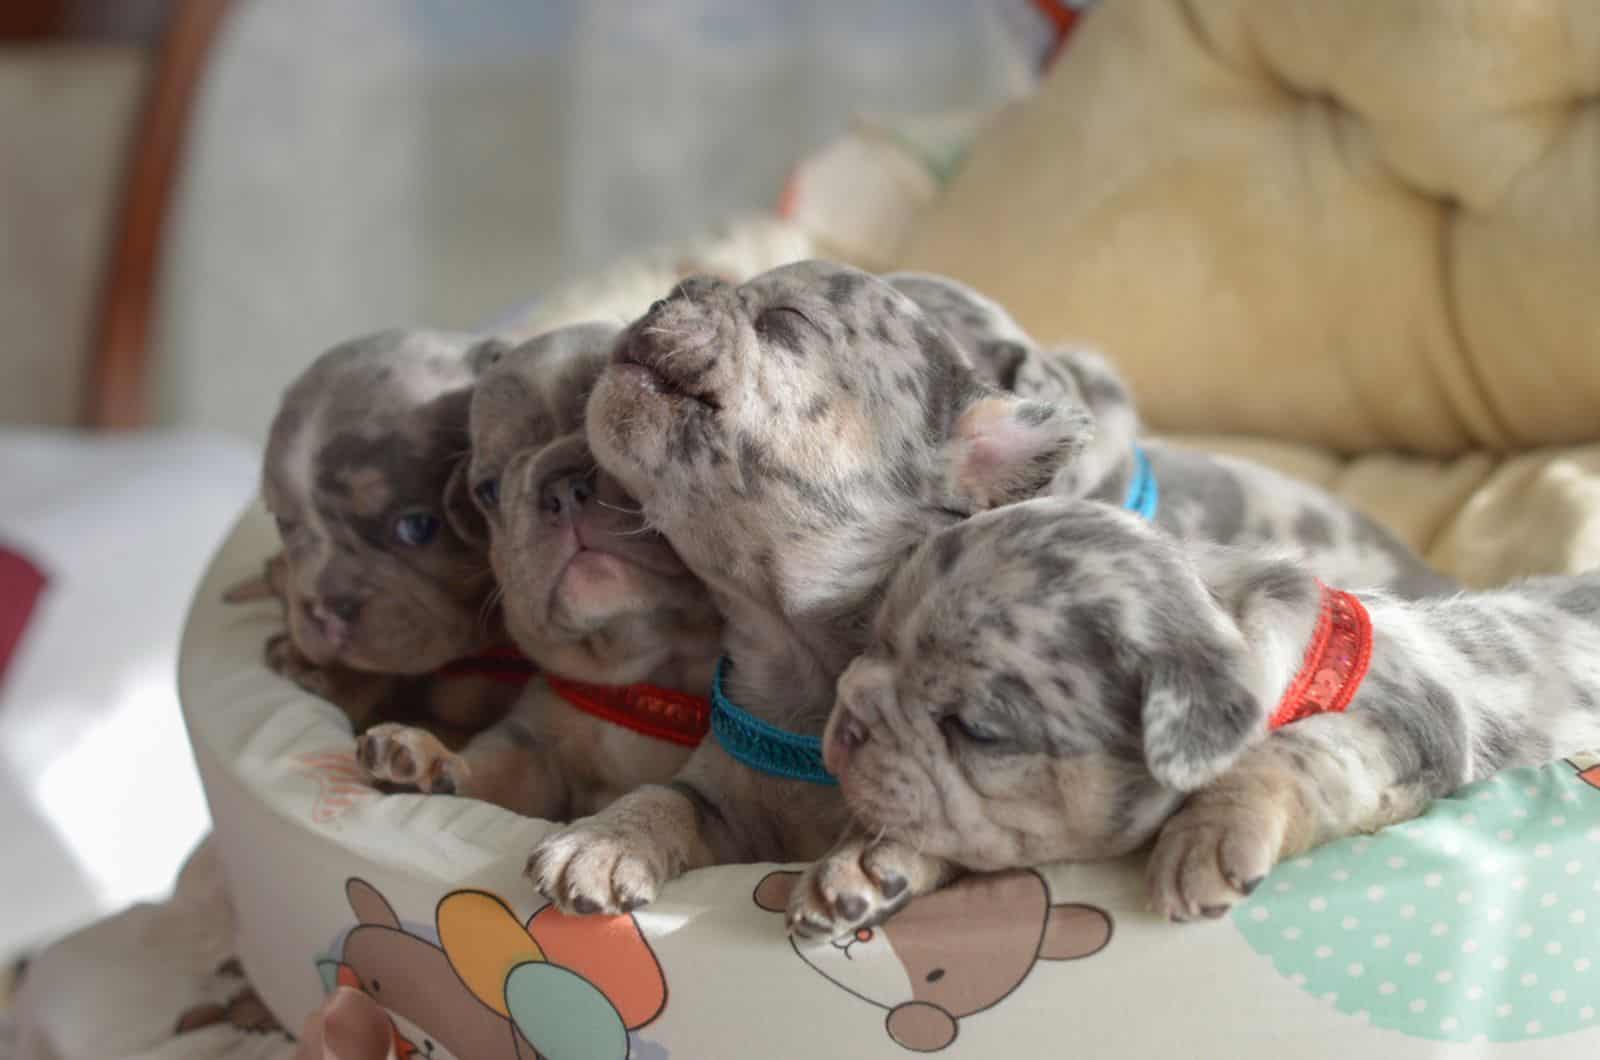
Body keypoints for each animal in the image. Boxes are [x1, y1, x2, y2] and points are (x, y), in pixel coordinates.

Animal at [356, 323, 726, 819]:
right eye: (488, 491)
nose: (562, 487)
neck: (648, 683)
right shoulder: (530, 751)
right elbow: (492, 772)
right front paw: (431, 760)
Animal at [796, 499, 1600, 941]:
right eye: (871, 644)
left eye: (976, 731)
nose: (847, 720)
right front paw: (862, 861)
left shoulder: (1404, 728)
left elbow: (1292, 751)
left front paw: (1209, 836)